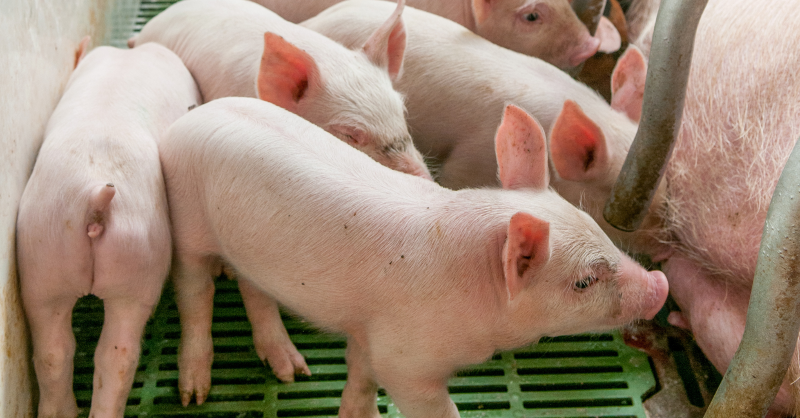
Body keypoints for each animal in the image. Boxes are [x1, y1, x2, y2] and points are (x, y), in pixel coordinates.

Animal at [159, 96, 669, 414]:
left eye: (598, 231)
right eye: (583, 281)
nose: (661, 285)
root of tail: (190, 116)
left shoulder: (369, 333)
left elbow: (361, 380)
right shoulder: (405, 359)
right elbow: (427, 402)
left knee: (254, 289)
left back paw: (293, 373)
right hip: (186, 222)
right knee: (194, 293)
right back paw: (194, 394)